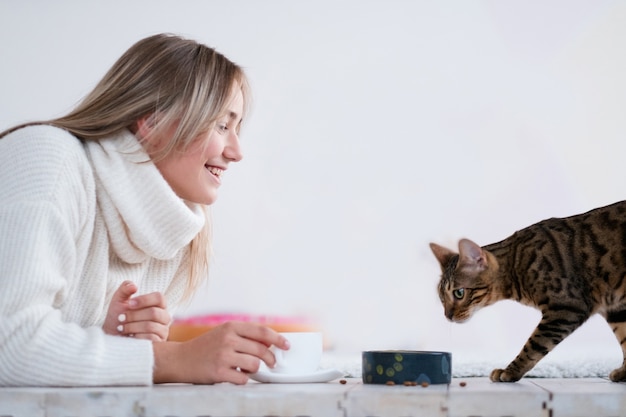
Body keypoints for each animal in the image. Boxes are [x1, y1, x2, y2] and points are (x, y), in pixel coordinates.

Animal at [428, 200, 626, 382]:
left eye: (459, 293)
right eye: (441, 298)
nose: (447, 316)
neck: (516, 263)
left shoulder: (566, 307)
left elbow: (534, 344)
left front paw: (510, 371)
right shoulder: (615, 309)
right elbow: (624, 338)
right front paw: (624, 372)